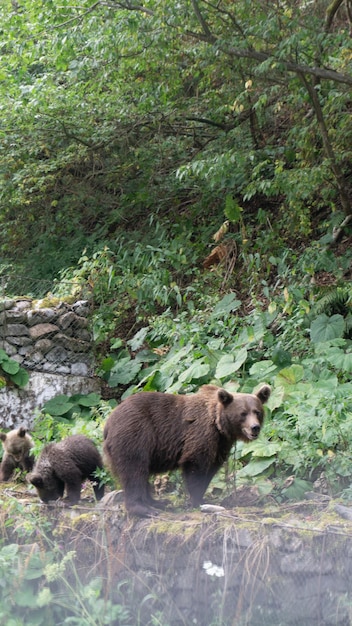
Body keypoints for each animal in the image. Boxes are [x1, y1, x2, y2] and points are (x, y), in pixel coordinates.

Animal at [103, 382, 270, 516]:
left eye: (257, 412)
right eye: (243, 413)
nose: (255, 427)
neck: (218, 425)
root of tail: (108, 422)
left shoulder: (220, 444)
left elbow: (211, 469)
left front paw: (202, 498)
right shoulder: (200, 435)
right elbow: (195, 464)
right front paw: (196, 500)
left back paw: (157, 502)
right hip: (135, 436)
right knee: (134, 470)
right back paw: (144, 509)